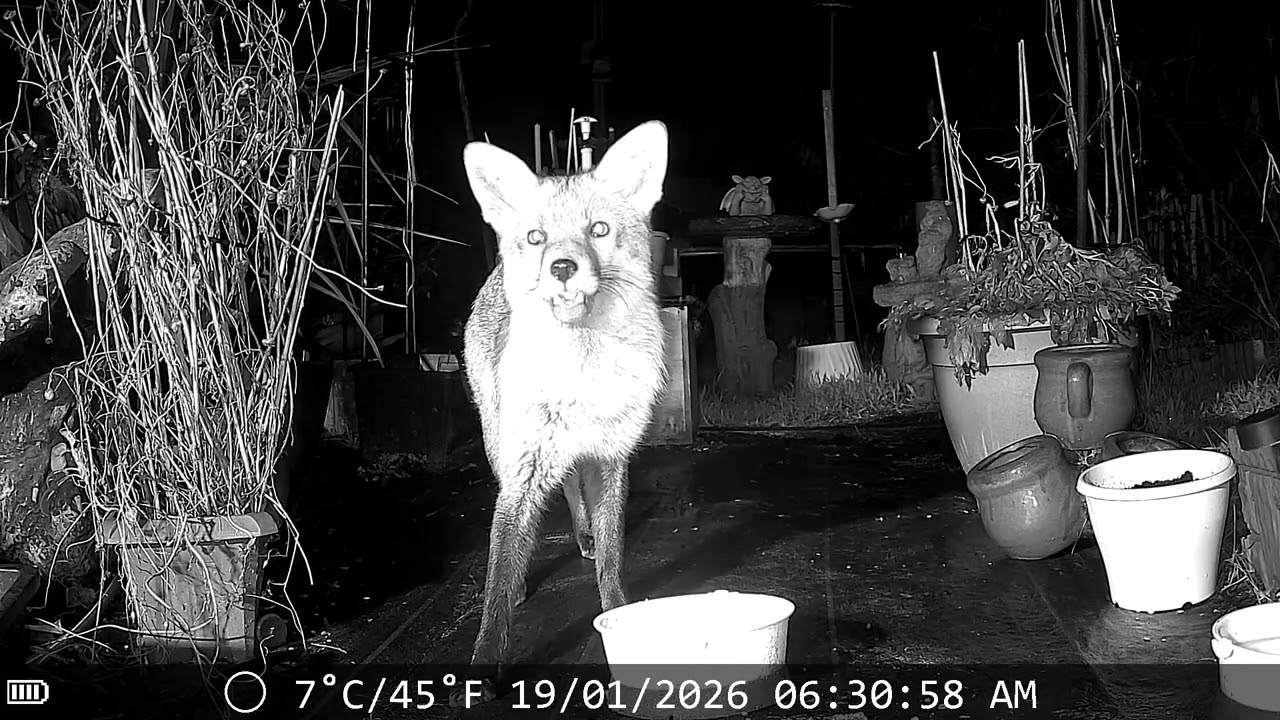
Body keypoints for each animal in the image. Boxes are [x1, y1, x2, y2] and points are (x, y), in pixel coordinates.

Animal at [449, 121, 671, 706]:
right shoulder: (523, 471)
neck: (582, 378)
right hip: (502, 445)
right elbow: (499, 574)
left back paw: (583, 537)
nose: (563, 268)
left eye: (599, 230)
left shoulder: (611, 457)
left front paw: (619, 616)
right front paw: (487, 656)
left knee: (573, 492)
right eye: (537, 237)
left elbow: (614, 553)